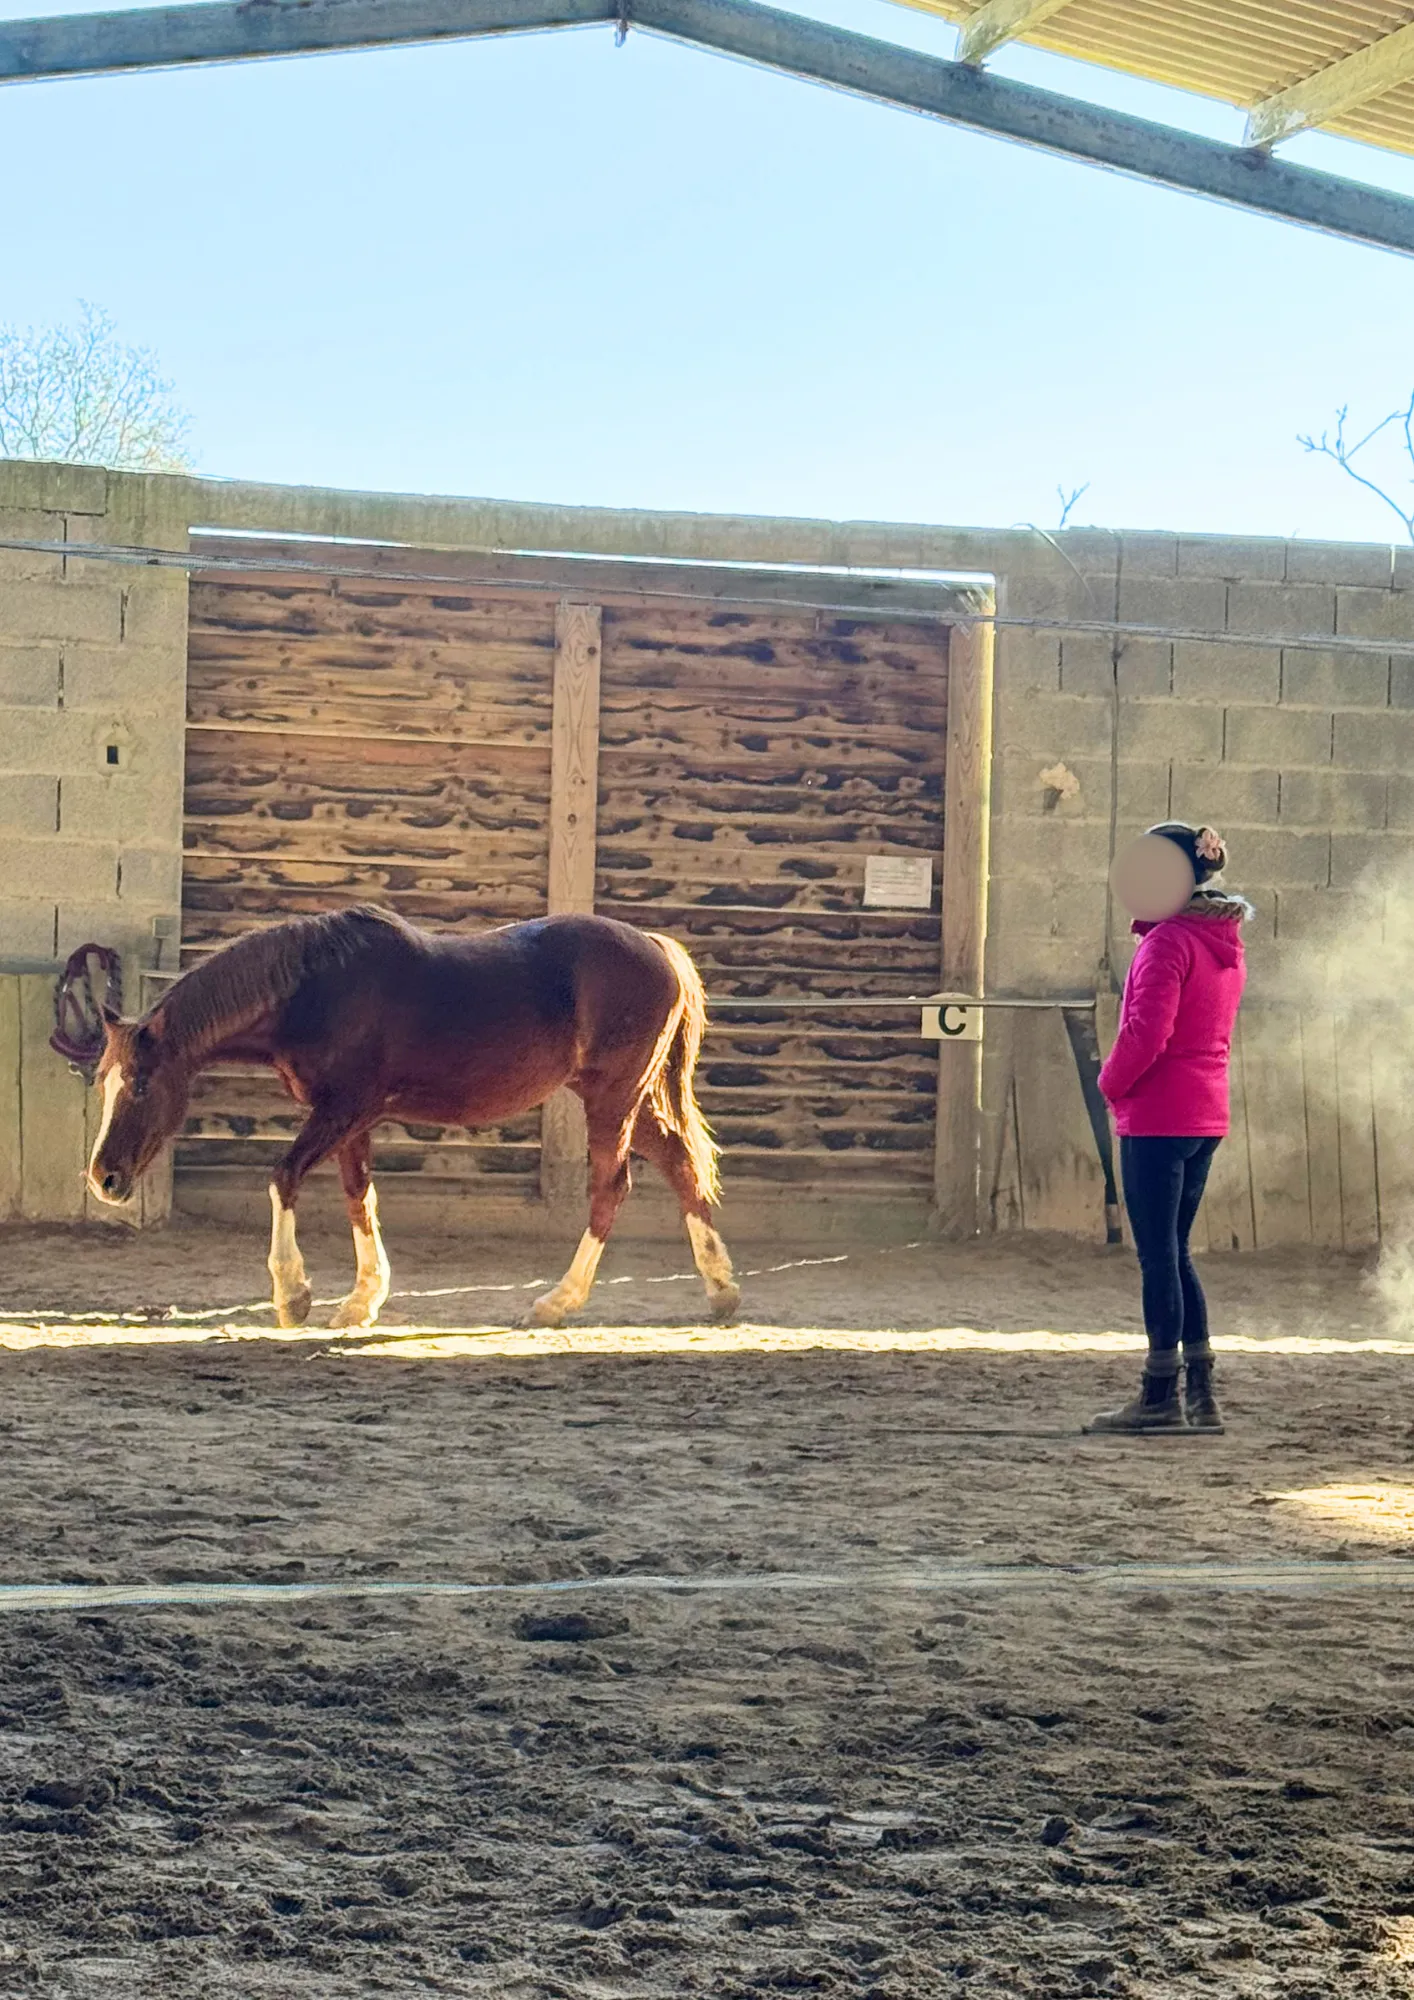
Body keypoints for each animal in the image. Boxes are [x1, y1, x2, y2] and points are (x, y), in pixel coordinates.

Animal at [87, 905, 740, 1333]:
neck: (316, 989)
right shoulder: (352, 1119)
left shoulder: (343, 1108)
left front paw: (293, 1294)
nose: (103, 1179)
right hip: (632, 1099)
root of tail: (657, 947)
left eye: (140, 1084)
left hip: (613, 1098)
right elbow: (359, 1197)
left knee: (612, 1185)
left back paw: (558, 1302)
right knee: (681, 1165)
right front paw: (362, 1300)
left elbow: (283, 1177)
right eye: (102, 1081)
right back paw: (721, 1290)